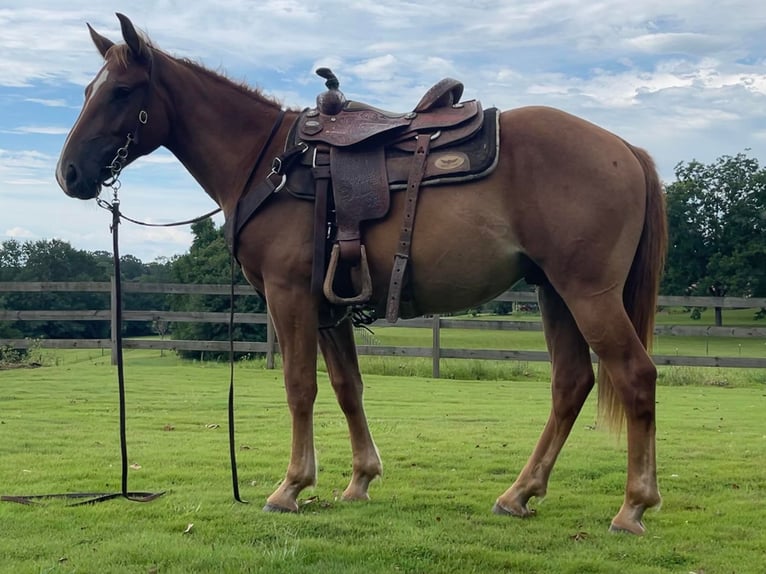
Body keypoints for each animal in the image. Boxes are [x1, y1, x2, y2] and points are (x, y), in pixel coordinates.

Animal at [57, 12, 664, 536]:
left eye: (120, 92)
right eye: (88, 91)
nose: (69, 174)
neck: (270, 164)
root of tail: (625, 148)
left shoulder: (290, 296)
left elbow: (299, 386)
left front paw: (291, 487)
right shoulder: (329, 307)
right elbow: (348, 386)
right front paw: (359, 480)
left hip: (589, 294)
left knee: (635, 375)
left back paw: (633, 506)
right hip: (554, 294)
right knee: (571, 383)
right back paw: (520, 494)